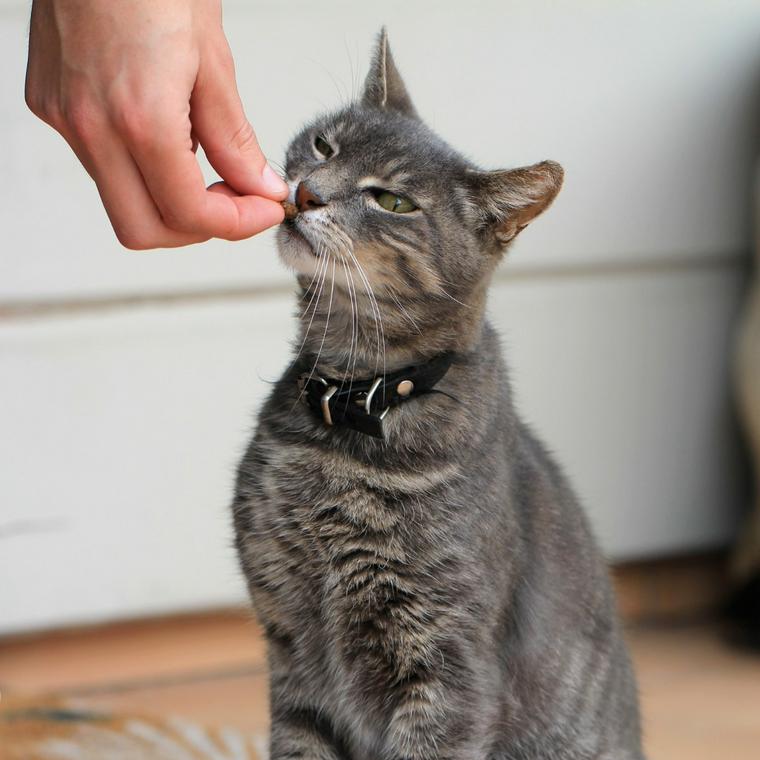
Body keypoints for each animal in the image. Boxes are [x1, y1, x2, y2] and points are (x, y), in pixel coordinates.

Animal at [230, 28, 640, 760]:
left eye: (392, 201)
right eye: (326, 145)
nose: (306, 192)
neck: (355, 405)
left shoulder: (448, 667)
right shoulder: (292, 648)